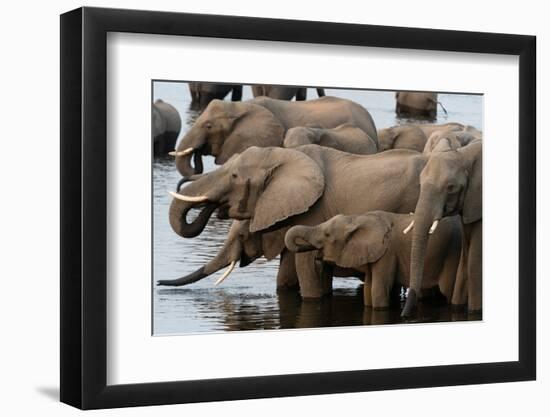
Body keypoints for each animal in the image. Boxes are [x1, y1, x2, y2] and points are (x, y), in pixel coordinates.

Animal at [168, 145, 426, 298]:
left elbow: (307, 268)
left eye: (234, 176)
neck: (281, 156)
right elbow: (286, 274)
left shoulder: (314, 210)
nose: (161, 283)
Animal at [286, 213, 464, 308]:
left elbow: (378, 289)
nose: (316, 257)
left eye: (327, 235)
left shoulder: (388, 254)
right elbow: (368, 290)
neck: (356, 218)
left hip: (452, 253)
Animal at [402, 140, 484, 316]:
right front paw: (457, 308)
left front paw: (474, 313)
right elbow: (464, 261)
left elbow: (474, 263)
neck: (465, 154)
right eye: (420, 183)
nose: (404, 316)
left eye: (451, 187)